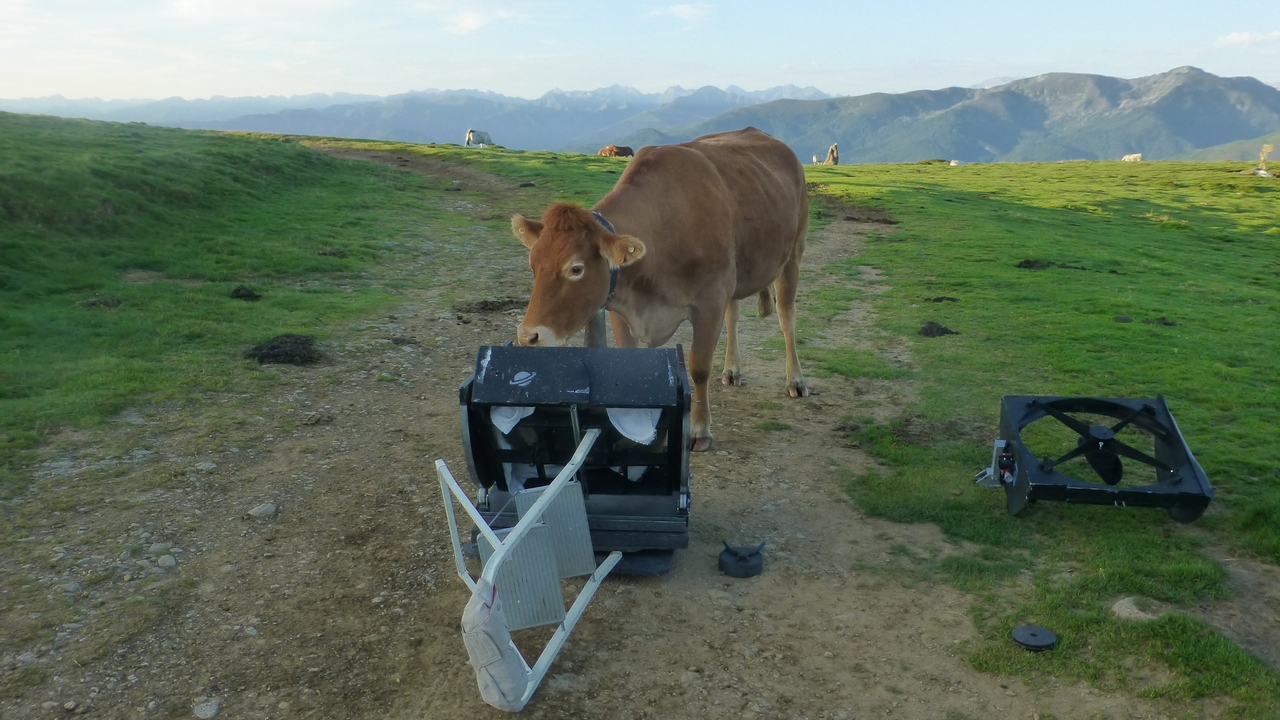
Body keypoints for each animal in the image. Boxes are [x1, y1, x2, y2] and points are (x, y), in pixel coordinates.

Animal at [510, 127, 808, 452]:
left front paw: (700, 430)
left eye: (576, 268)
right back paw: (732, 370)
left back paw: (795, 380)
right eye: (533, 263)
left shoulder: (710, 300)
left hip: (793, 253)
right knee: (734, 315)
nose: (528, 336)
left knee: (787, 317)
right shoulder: (621, 304)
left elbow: (699, 367)